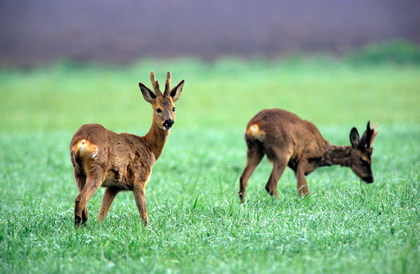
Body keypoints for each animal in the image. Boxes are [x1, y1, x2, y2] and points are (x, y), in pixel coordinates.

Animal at [69, 71, 183, 227]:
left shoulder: (114, 186)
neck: (149, 147)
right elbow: (144, 214)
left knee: (82, 201)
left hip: (78, 171)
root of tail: (83, 140)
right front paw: (147, 228)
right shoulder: (139, 179)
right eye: (158, 109)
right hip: (97, 169)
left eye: (174, 108)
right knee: (80, 199)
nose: (169, 122)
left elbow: (102, 215)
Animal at [238, 109, 378, 203]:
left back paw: (243, 204)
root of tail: (255, 124)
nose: (370, 178)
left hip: (254, 150)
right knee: (270, 184)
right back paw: (280, 202)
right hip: (282, 152)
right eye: (363, 160)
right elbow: (303, 189)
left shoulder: (296, 165)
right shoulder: (303, 159)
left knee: (243, 178)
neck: (323, 152)